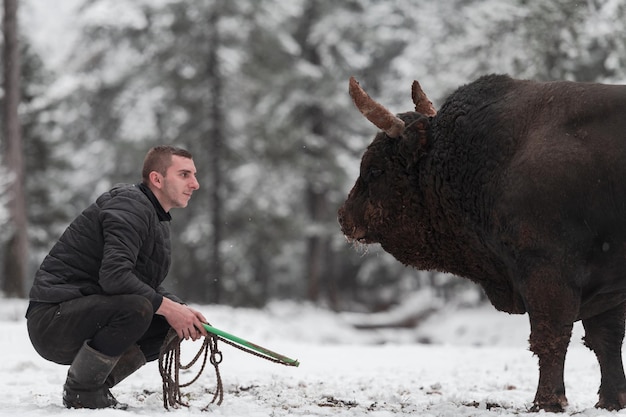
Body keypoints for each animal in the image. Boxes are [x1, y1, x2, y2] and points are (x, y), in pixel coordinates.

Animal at [336, 74, 626, 410]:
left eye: (374, 168)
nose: (343, 216)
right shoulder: (605, 287)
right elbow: (606, 340)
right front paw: (611, 400)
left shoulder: (547, 272)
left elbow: (550, 337)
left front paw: (546, 402)